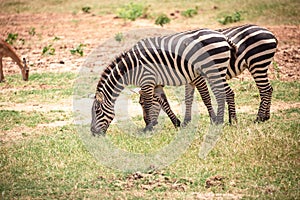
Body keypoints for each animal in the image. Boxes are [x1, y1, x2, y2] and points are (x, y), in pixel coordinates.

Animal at [90, 28, 233, 134]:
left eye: (97, 112)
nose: (93, 133)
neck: (131, 66)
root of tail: (222, 36)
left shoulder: (147, 80)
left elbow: (149, 104)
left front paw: (147, 128)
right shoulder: (156, 84)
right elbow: (164, 103)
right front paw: (177, 123)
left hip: (214, 69)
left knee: (224, 93)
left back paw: (225, 121)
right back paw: (229, 120)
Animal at [139, 24, 278, 126]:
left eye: (141, 103)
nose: (147, 123)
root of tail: (271, 33)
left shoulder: (197, 77)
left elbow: (204, 97)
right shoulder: (190, 79)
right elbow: (188, 99)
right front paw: (186, 122)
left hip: (257, 63)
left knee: (265, 89)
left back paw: (259, 118)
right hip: (260, 65)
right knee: (269, 88)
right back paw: (266, 117)